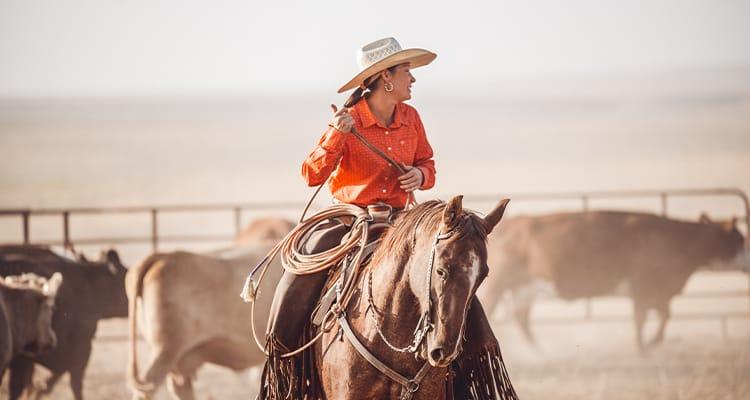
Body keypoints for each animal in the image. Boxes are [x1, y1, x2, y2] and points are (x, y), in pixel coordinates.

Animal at [482, 211, 748, 352]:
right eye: (739, 239)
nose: (748, 259)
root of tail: (510, 223)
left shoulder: (657, 293)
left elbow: (663, 316)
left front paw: (649, 344)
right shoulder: (643, 288)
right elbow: (644, 319)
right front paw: (644, 347)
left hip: (524, 288)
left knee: (521, 318)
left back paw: (541, 351)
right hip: (500, 285)